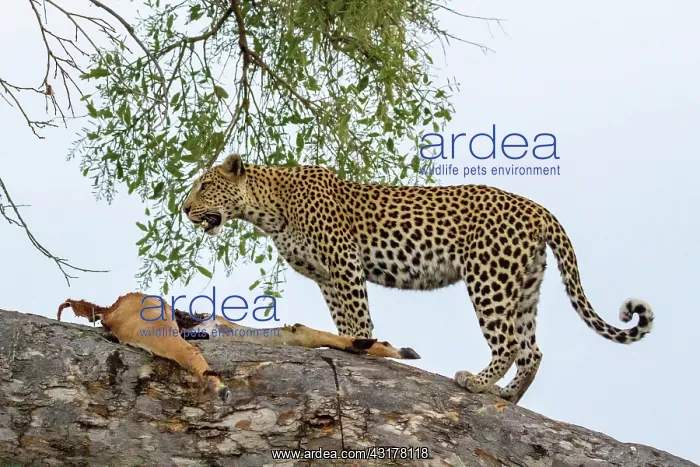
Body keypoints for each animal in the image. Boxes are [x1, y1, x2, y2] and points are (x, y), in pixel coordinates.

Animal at [182, 153, 654, 404]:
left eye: (204, 185)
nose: (183, 208)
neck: (268, 208)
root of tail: (539, 209)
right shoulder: (326, 277)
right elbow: (343, 323)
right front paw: (355, 345)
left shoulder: (344, 264)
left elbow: (358, 319)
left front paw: (366, 347)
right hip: (522, 286)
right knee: (532, 350)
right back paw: (507, 396)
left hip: (489, 278)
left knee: (508, 343)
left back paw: (476, 381)